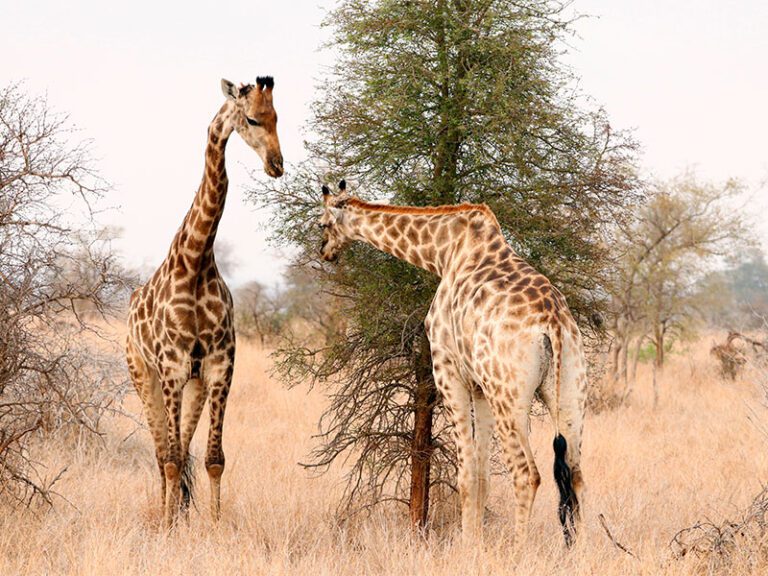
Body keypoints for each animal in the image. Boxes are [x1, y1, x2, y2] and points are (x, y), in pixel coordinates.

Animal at [126, 77, 283, 528]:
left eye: (277, 117)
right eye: (253, 119)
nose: (277, 164)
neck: (196, 260)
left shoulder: (218, 366)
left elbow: (214, 458)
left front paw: (212, 525)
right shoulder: (172, 366)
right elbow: (172, 457)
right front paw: (168, 527)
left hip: (193, 383)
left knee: (180, 449)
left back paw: (179, 511)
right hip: (143, 375)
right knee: (162, 452)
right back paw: (166, 515)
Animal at [318, 180, 587, 550]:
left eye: (322, 223)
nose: (324, 251)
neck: (443, 253)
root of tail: (554, 324)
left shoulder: (448, 371)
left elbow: (466, 472)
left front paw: (467, 546)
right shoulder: (480, 387)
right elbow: (483, 473)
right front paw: (476, 542)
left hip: (510, 396)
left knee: (527, 473)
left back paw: (518, 551)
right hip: (570, 391)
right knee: (575, 474)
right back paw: (582, 552)